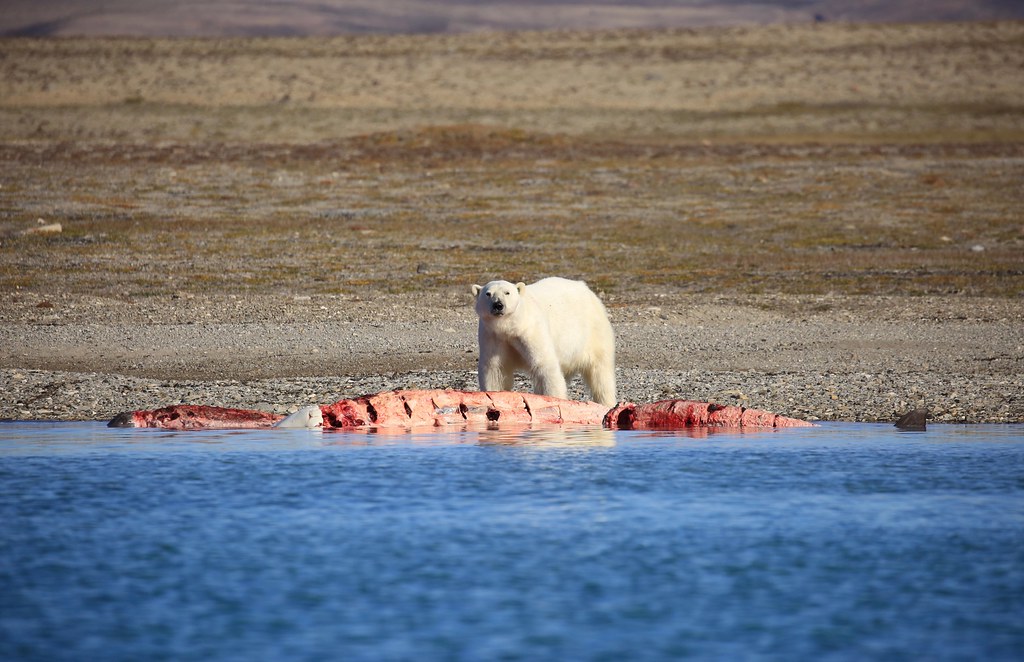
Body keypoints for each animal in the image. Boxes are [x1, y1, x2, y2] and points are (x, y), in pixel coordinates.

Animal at [471, 277, 617, 406]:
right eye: (488, 294)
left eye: (507, 292)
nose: (498, 305)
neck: (510, 327)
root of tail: (586, 289)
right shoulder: (493, 336)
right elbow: (495, 369)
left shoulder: (530, 330)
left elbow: (544, 365)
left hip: (593, 331)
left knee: (600, 373)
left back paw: (606, 402)